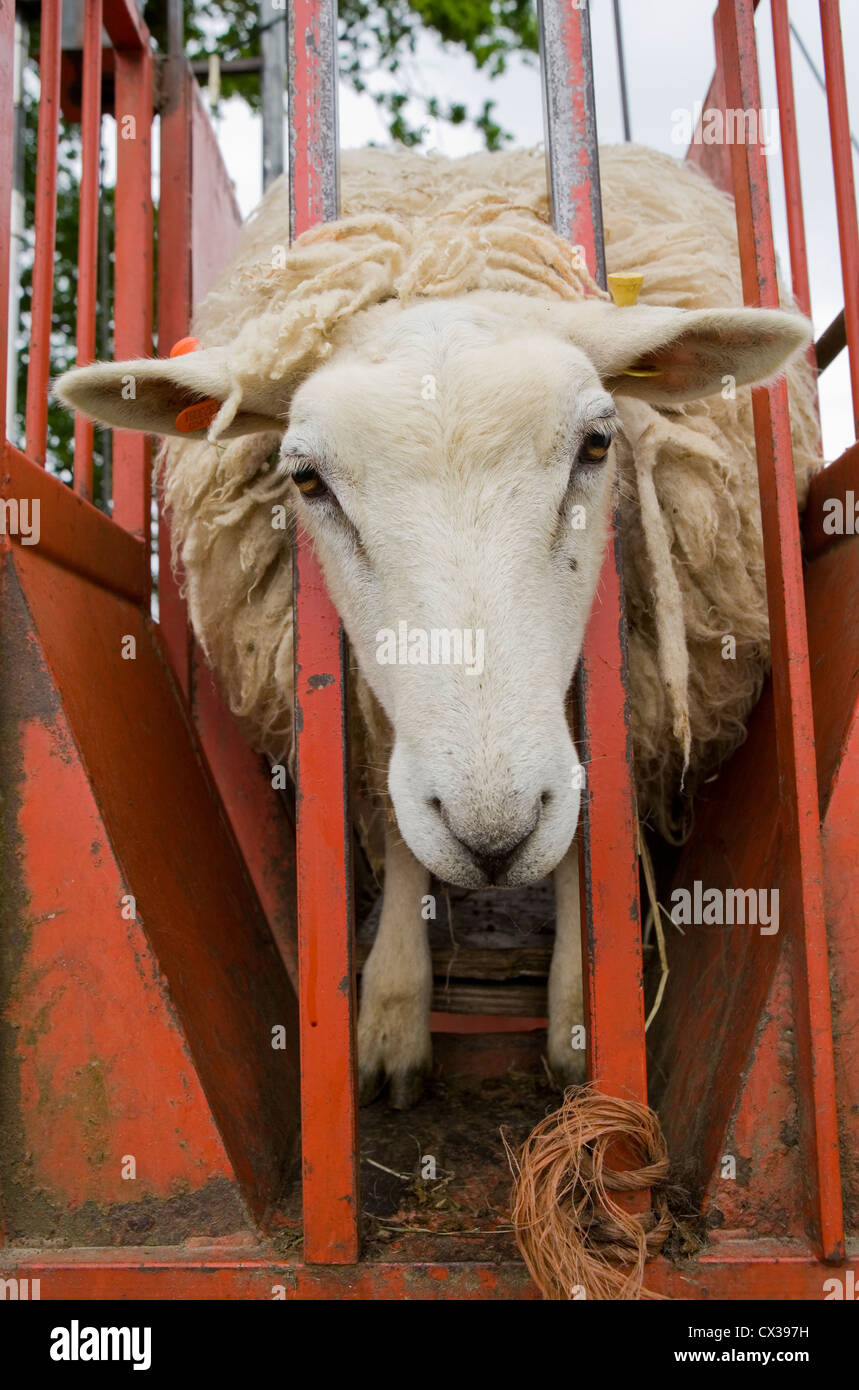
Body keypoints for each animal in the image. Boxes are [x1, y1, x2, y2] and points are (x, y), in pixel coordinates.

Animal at [57, 143, 819, 1109]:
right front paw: (390, 1013)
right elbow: (396, 822)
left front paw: (580, 1016)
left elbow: (583, 827)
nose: (491, 837)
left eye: (597, 443)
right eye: (306, 479)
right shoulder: (368, 714)